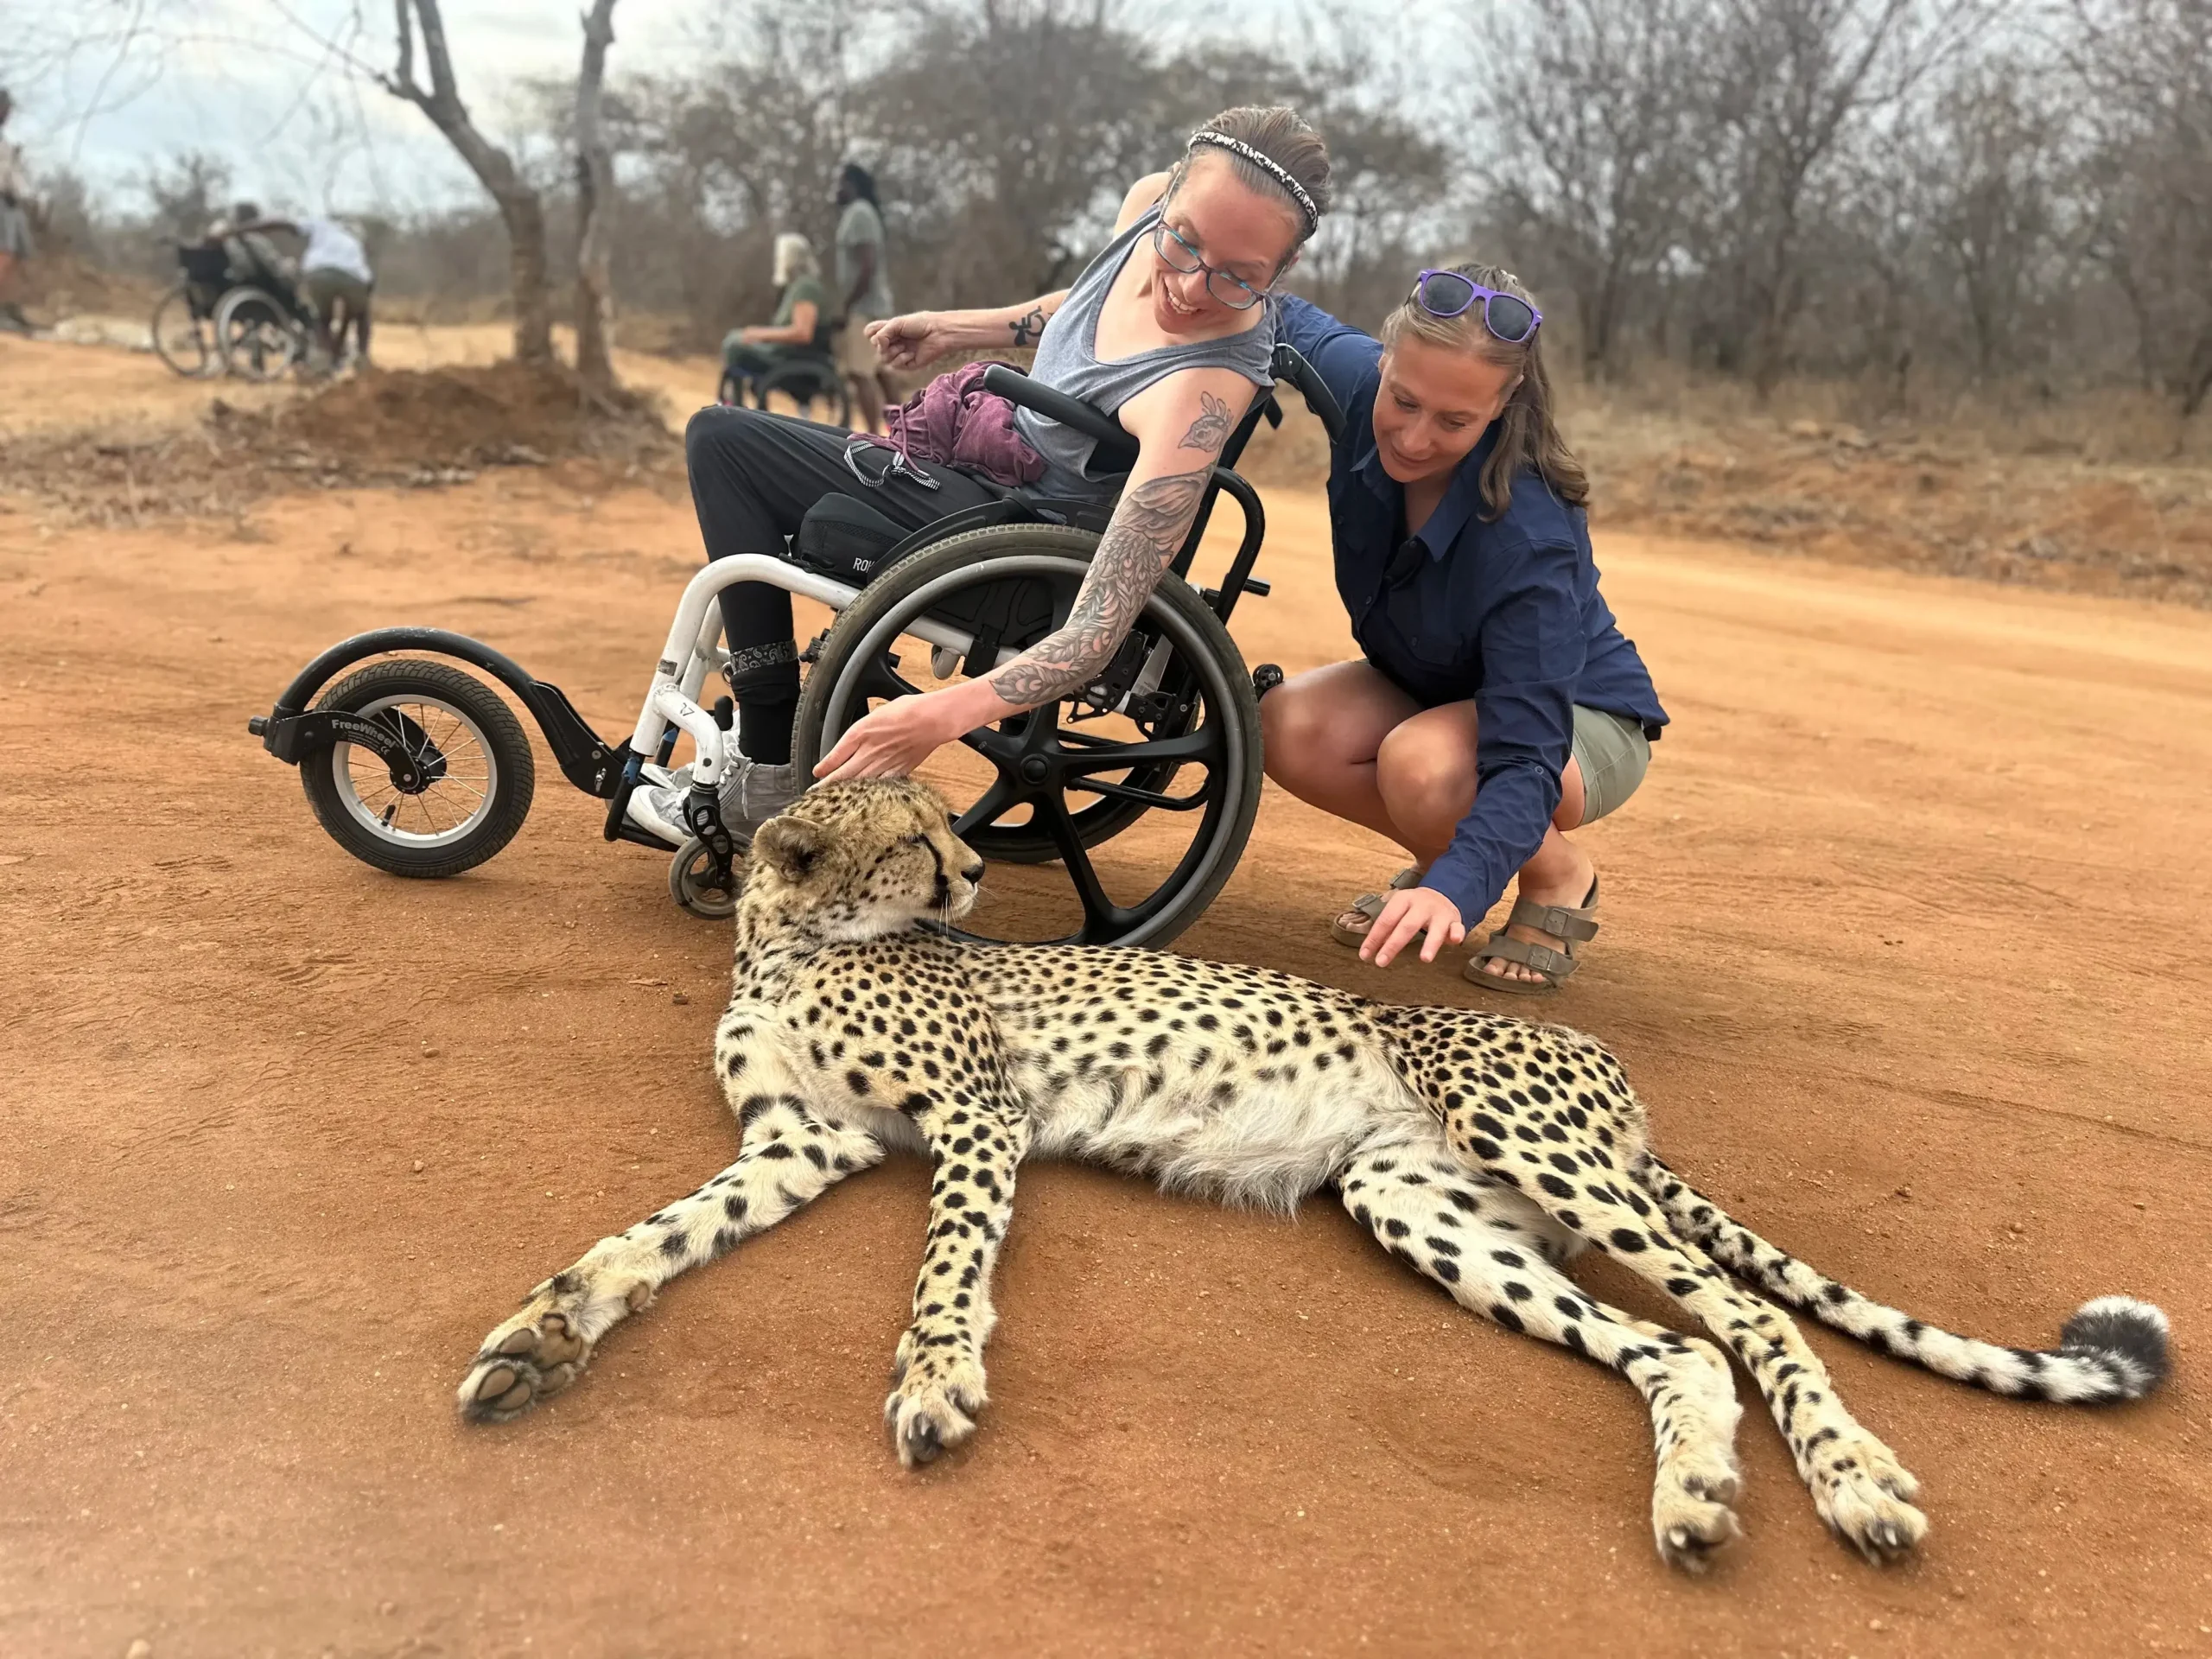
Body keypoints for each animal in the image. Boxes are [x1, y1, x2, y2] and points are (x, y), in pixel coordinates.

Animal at [457, 777, 2170, 1571]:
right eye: (917, 841)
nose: (974, 870)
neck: (793, 944)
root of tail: (1604, 1075)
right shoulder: (797, 1145)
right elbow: (645, 1239)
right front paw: (543, 1336)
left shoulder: (976, 1119)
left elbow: (946, 1272)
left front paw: (935, 1382)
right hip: (1418, 1202)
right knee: (1676, 1349)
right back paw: (1692, 1495)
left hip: (1537, 1148)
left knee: (1754, 1321)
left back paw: (1856, 1481)